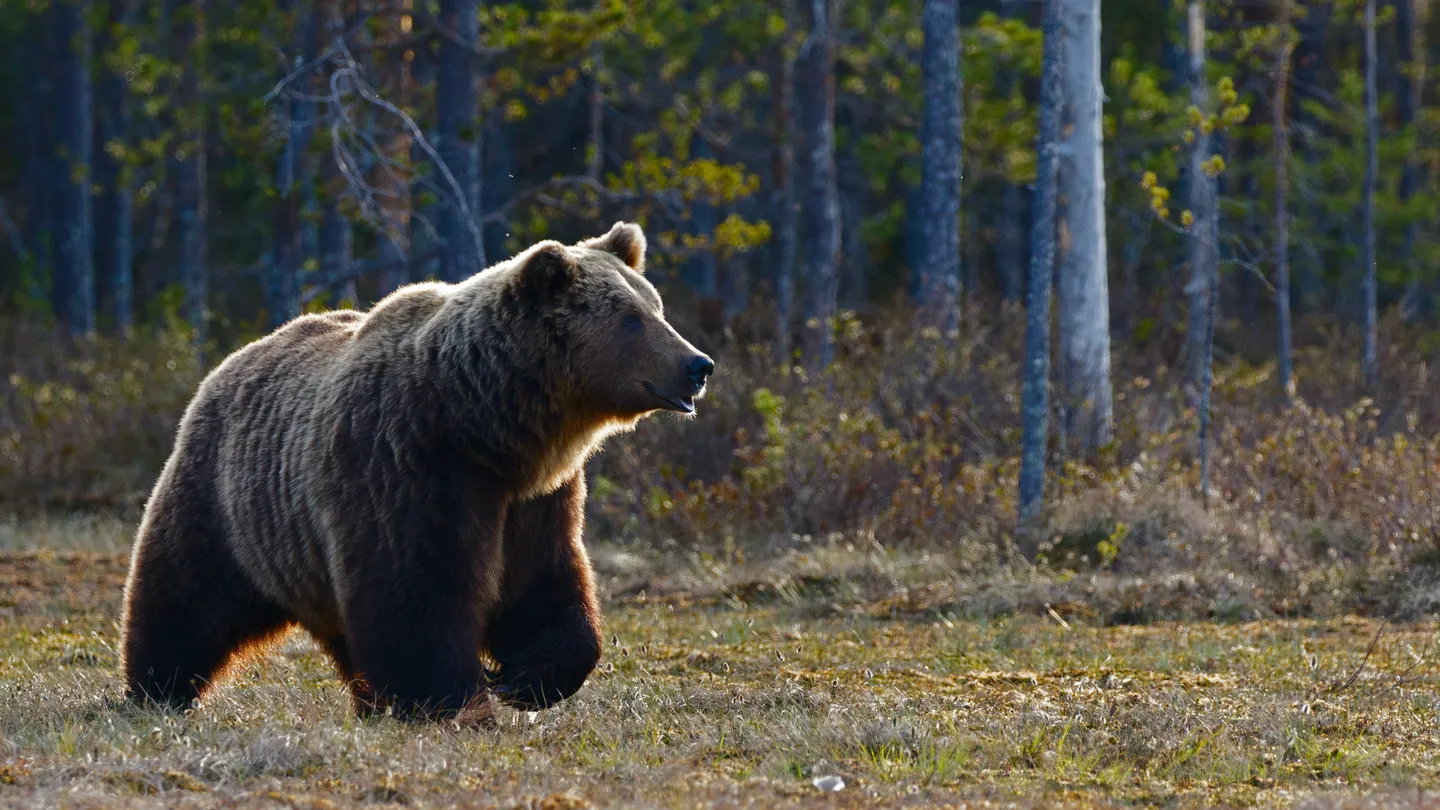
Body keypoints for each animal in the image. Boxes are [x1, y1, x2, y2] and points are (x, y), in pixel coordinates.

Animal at [118, 221, 714, 717]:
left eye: (656, 308)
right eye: (631, 319)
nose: (698, 364)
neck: (485, 427)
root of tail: (232, 360)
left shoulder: (535, 498)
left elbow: (544, 583)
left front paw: (525, 678)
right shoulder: (405, 467)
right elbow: (416, 592)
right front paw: (452, 698)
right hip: (228, 500)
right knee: (184, 596)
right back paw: (156, 689)